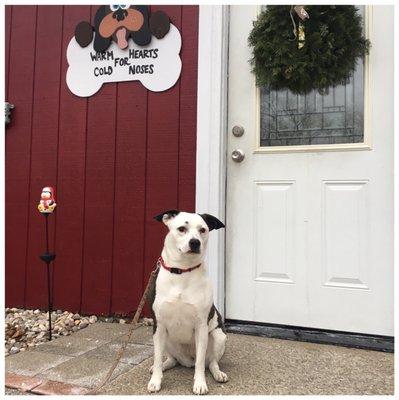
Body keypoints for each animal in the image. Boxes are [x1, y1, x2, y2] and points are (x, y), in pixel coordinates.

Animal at [147, 211, 228, 396]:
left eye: (203, 230)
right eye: (181, 229)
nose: (195, 242)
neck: (182, 271)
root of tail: (187, 361)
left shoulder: (201, 326)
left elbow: (200, 363)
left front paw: (200, 384)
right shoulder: (159, 325)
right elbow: (156, 357)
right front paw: (155, 380)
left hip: (218, 336)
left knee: (210, 362)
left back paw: (218, 373)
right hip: (167, 339)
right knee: (171, 359)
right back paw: (163, 366)